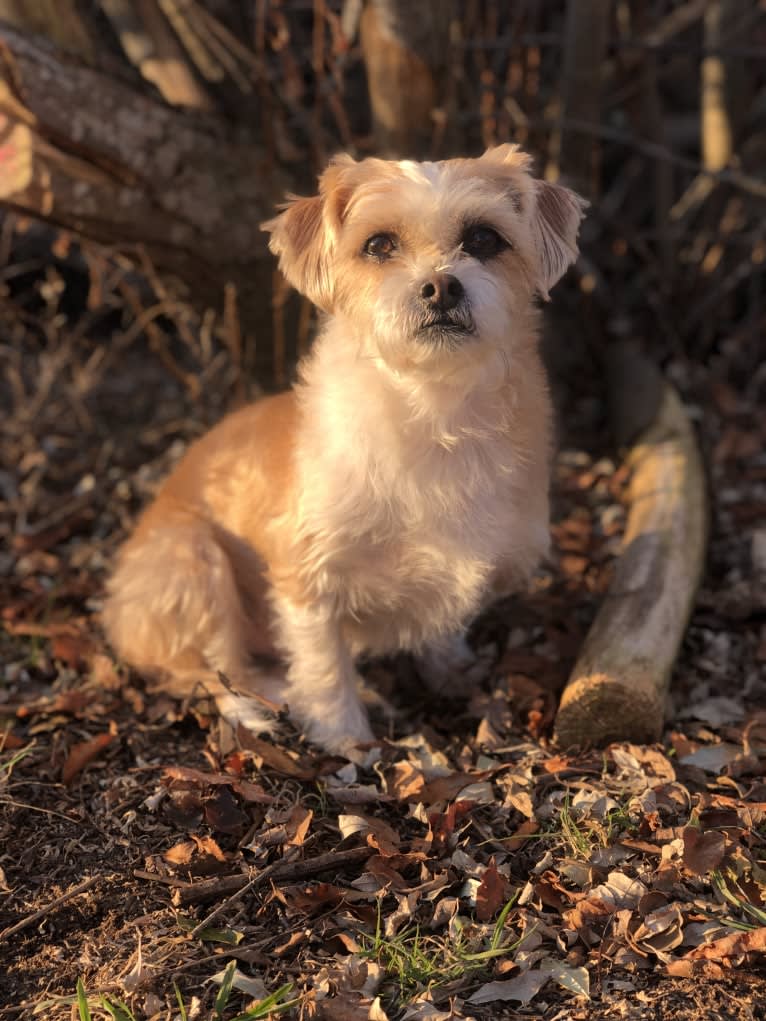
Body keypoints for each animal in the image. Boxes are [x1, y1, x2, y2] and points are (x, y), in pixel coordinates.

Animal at [103, 146, 588, 759]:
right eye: (378, 244)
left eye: (483, 239)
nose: (441, 287)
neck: (435, 409)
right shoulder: (305, 573)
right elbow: (324, 663)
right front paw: (344, 736)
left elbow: (445, 622)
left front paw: (450, 670)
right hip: (194, 562)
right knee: (206, 671)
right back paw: (264, 703)